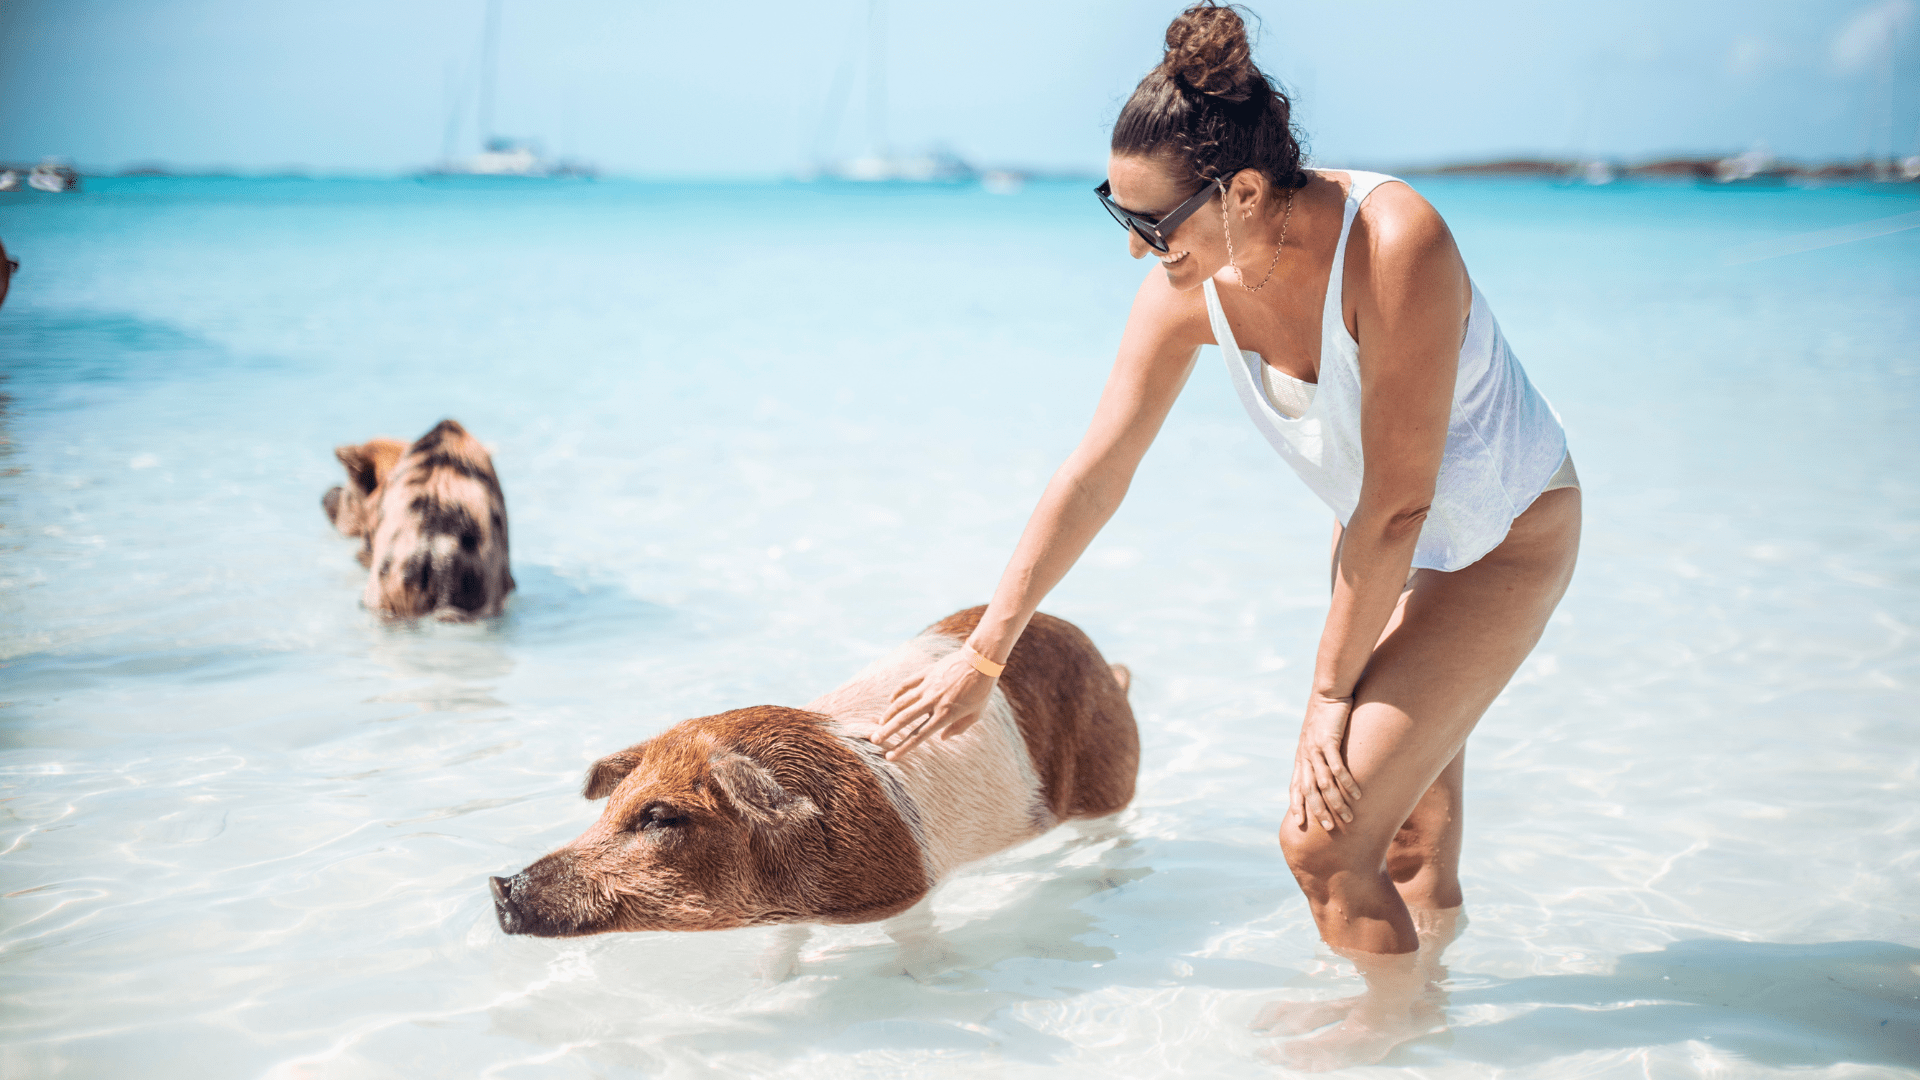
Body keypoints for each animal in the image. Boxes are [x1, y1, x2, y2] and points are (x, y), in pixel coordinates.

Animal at [487, 607, 1136, 933]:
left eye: (659, 816)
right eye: (613, 804)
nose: (499, 884)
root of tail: (1106, 664)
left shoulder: (907, 892)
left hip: (1107, 777)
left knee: (1112, 835)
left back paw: (1109, 887)